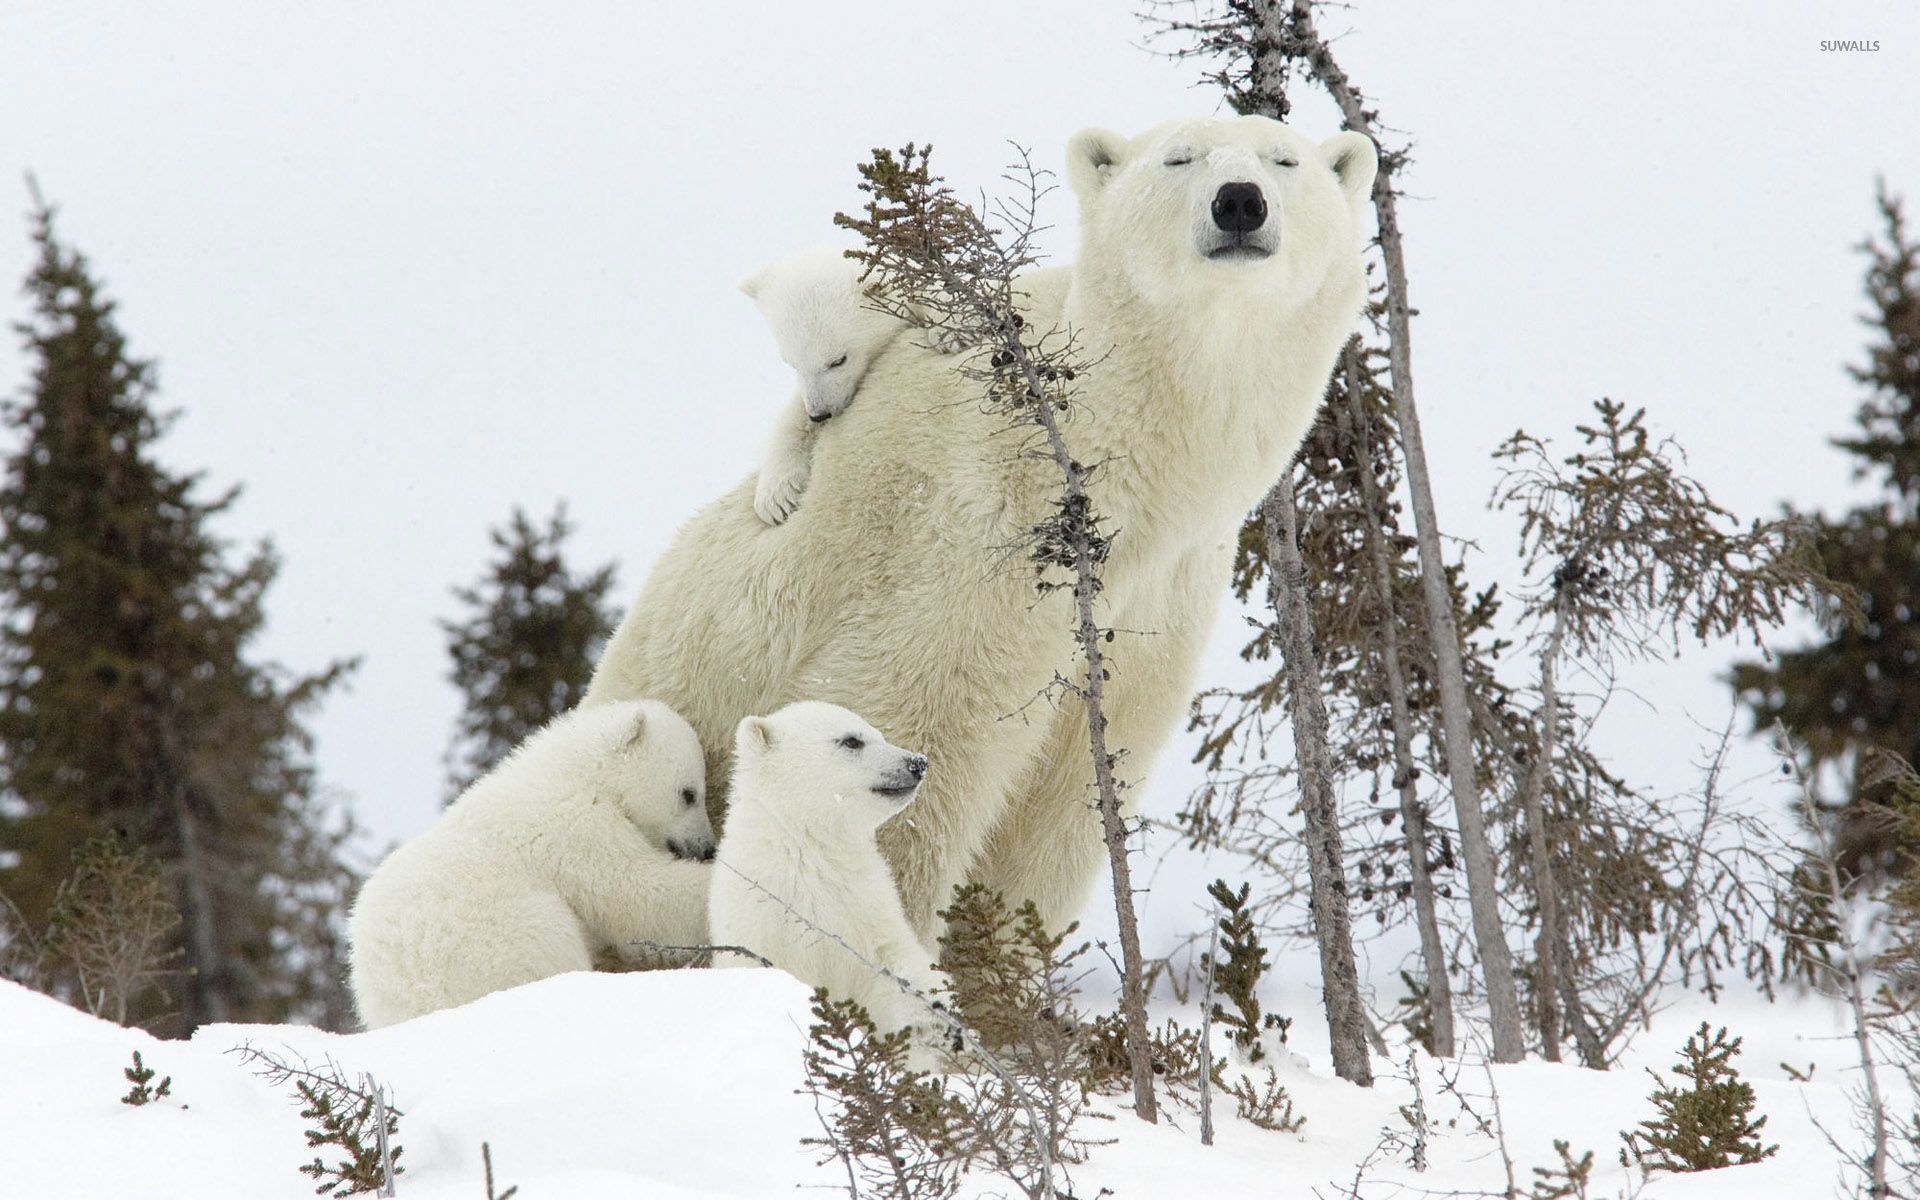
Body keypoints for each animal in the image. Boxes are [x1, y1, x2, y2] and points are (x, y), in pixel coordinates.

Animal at [347, 699, 717, 1028]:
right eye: (689, 793)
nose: (707, 847)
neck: (579, 772)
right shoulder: (577, 828)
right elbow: (637, 894)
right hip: (502, 938)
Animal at [585, 115, 1378, 943]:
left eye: (1284, 160)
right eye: (1178, 158)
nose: (1239, 202)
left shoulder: (1158, 603)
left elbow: (1061, 814)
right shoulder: (965, 550)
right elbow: (907, 754)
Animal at [708, 701, 950, 1051]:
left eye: (880, 734)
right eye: (852, 741)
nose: (918, 762)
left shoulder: (866, 907)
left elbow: (893, 962)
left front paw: (936, 1015)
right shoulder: (760, 924)